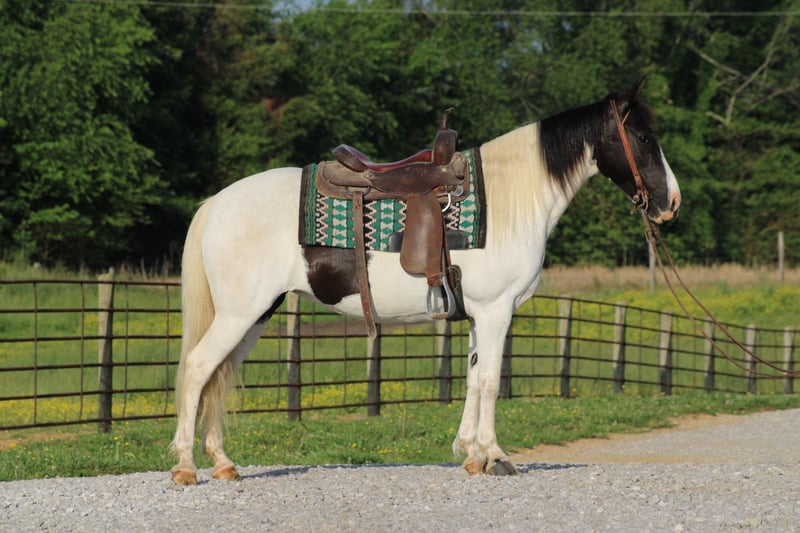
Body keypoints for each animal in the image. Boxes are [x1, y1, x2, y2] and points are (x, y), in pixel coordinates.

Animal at [169, 78, 681, 485]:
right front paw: (496, 456)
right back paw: (186, 468)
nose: (671, 203)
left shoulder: (479, 315)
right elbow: (490, 380)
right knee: (198, 369)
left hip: (255, 315)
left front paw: (471, 455)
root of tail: (216, 202)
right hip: (239, 314)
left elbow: (473, 379)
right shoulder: (495, 311)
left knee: (220, 375)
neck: (511, 199)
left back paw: (223, 463)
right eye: (642, 135)